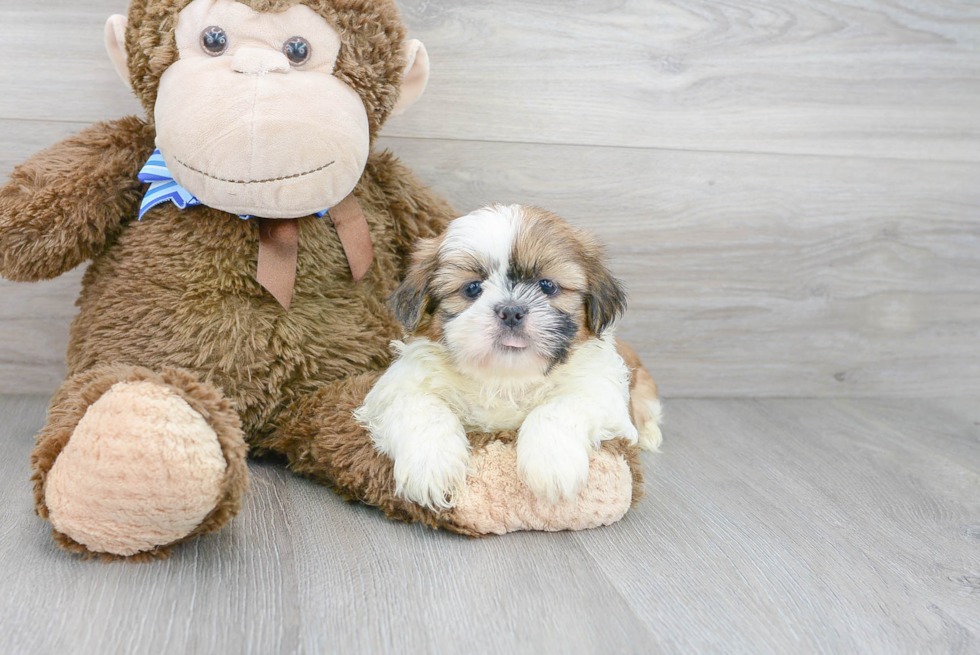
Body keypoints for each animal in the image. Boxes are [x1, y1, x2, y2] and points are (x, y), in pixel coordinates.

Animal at [356, 205, 664, 512]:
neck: (506, 377)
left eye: (547, 286)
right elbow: (423, 410)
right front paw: (432, 465)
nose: (511, 311)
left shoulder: (598, 389)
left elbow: (558, 408)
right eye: (472, 288)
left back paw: (650, 435)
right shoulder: (400, 387)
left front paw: (552, 463)